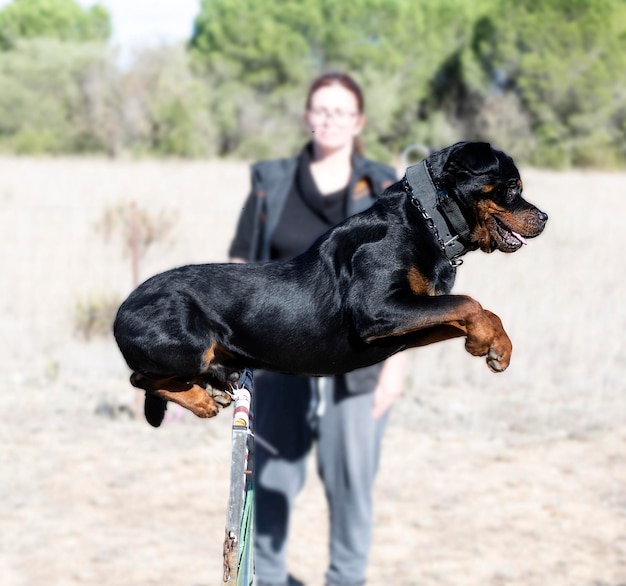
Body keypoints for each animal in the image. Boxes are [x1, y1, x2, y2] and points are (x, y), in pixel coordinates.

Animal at [113, 141, 544, 424]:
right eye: (512, 187)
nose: (544, 217)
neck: (427, 220)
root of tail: (119, 312)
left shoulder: (409, 321)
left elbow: (472, 310)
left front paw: (495, 346)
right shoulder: (378, 311)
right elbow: (469, 302)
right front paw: (484, 342)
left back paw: (211, 388)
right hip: (188, 345)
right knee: (141, 378)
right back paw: (200, 400)